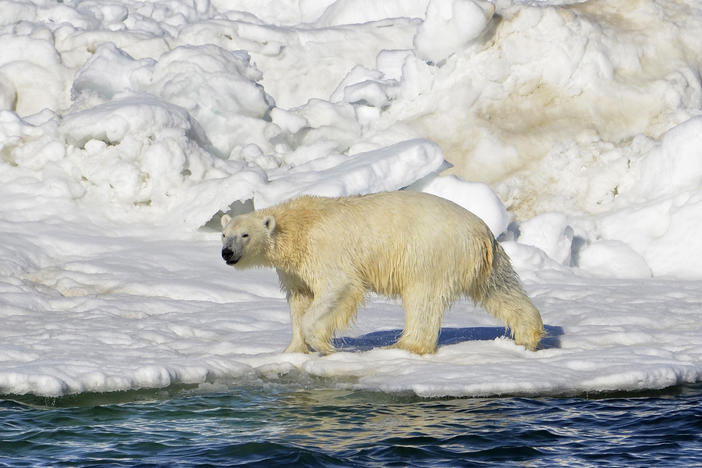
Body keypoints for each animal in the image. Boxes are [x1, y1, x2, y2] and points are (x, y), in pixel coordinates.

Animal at [220, 192, 544, 352]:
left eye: (245, 235)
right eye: (224, 234)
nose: (227, 253)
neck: (299, 226)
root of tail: (481, 232)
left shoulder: (325, 251)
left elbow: (339, 287)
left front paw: (324, 345)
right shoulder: (294, 270)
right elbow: (299, 300)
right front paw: (292, 350)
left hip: (430, 253)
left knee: (423, 298)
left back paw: (404, 345)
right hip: (485, 261)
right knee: (501, 290)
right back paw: (529, 336)